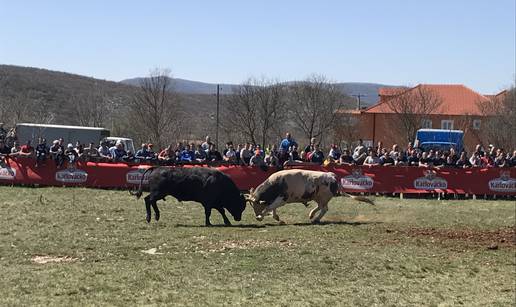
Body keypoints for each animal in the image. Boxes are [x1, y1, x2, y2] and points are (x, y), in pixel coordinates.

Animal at [244, 170, 372, 225]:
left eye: (256, 205)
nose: (256, 214)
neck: (276, 183)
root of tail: (332, 176)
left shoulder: (282, 199)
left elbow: (269, 207)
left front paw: (260, 217)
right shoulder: (277, 200)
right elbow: (272, 208)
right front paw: (277, 218)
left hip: (323, 197)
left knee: (323, 209)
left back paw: (315, 219)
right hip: (318, 197)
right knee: (321, 207)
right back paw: (312, 215)